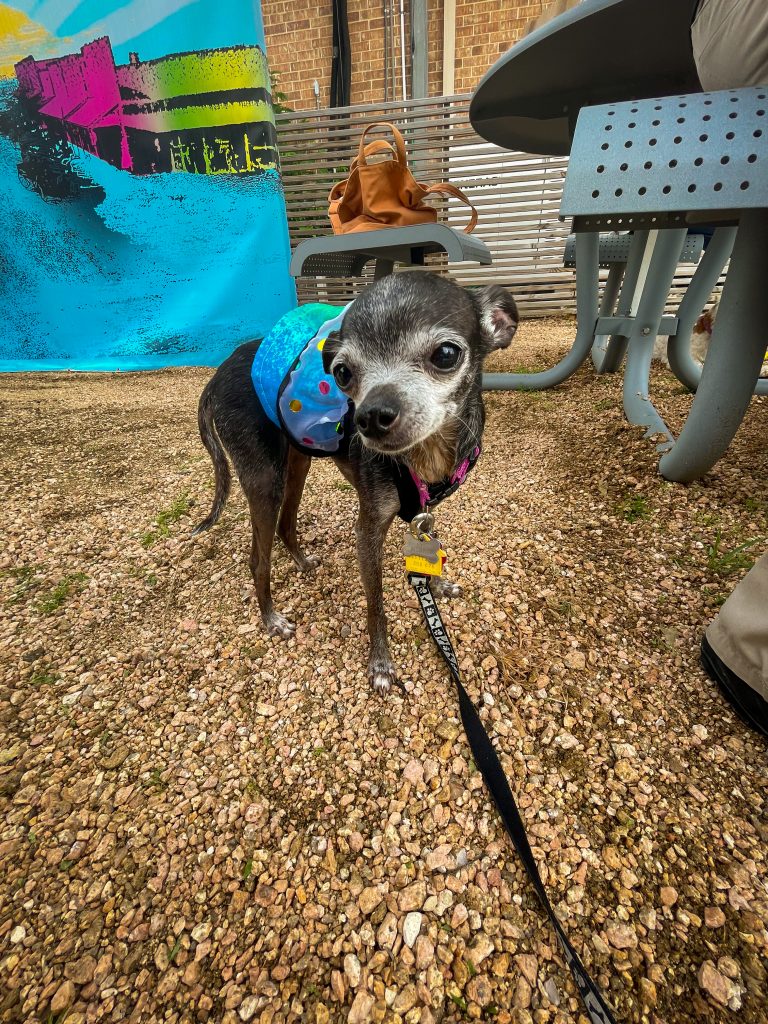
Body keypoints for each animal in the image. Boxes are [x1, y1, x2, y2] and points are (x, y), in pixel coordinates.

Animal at [195, 272, 520, 692]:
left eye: (446, 354)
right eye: (342, 373)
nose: (370, 417)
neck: (424, 456)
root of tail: (217, 373)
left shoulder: (425, 510)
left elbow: (427, 555)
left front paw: (436, 587)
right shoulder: (367, 530)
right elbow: (375, 604)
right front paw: (380, 664)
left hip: (297, 463)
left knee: (286, 524)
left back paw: (302, 562)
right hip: (265, 480)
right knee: (258, 559)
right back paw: (271, 619)